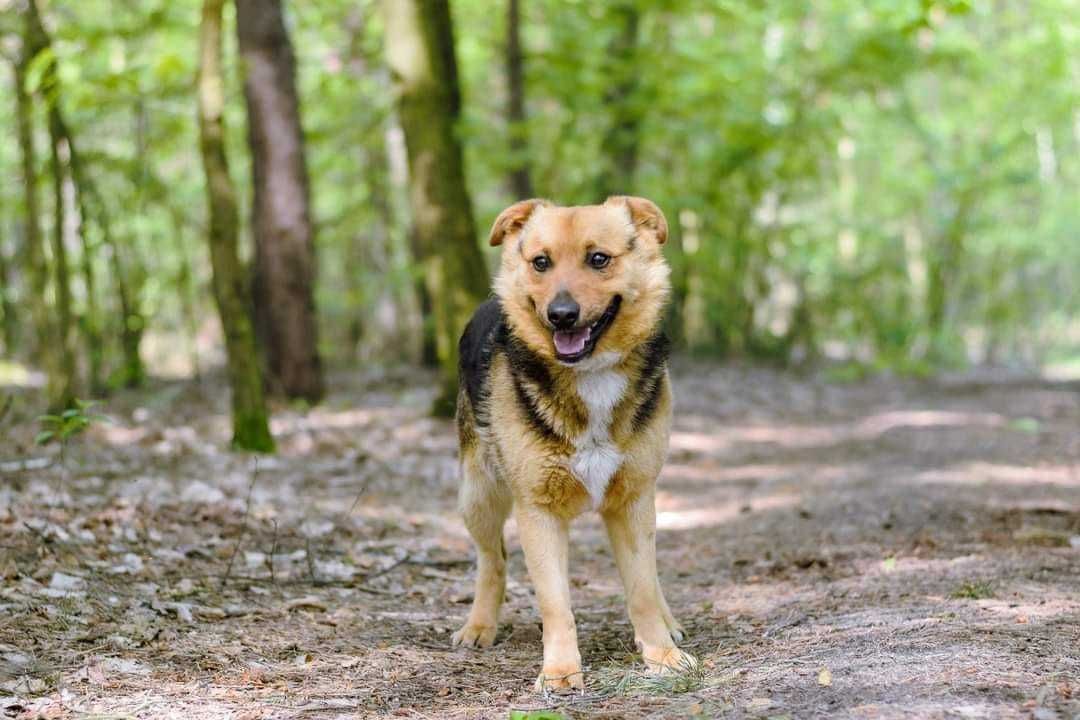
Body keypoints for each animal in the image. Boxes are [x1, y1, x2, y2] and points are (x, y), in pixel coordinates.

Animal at [451, 194, 695, 690]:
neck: (590, 374)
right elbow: (555, 604)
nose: (560, 315)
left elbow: (643, 588)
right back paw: (479, 625)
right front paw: (561, 671)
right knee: (493, 559)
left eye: (598, 259)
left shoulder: (634, 501)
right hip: (478, 493)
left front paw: (661, 655)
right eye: (540, 262)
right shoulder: (538, 511)